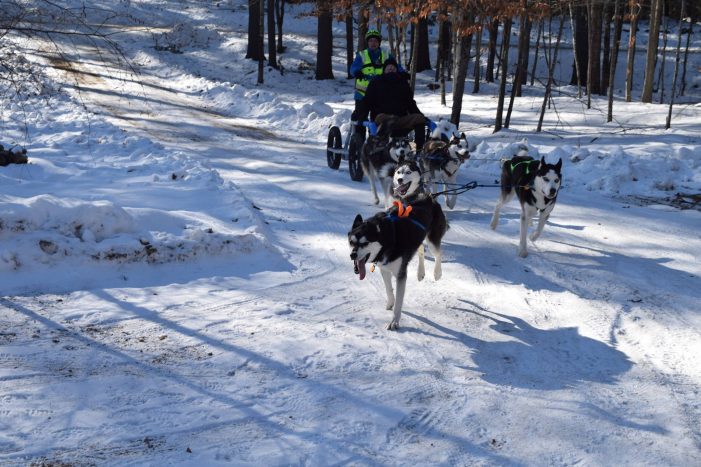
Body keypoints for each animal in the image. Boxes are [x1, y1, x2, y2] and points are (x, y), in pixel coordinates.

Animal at [348, 159, 448, 330]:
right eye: (351, 242)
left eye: (365, 243)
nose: (352, 255)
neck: (387, 239)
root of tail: (428, 197)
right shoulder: (385, 269)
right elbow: (389, 289)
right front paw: (390, 302)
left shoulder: (401, 275)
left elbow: (400, 302)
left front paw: (395, 321)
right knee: (420, 249)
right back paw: (420, 273)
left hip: (432, 239)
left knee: (438, 253)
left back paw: (437, 273)